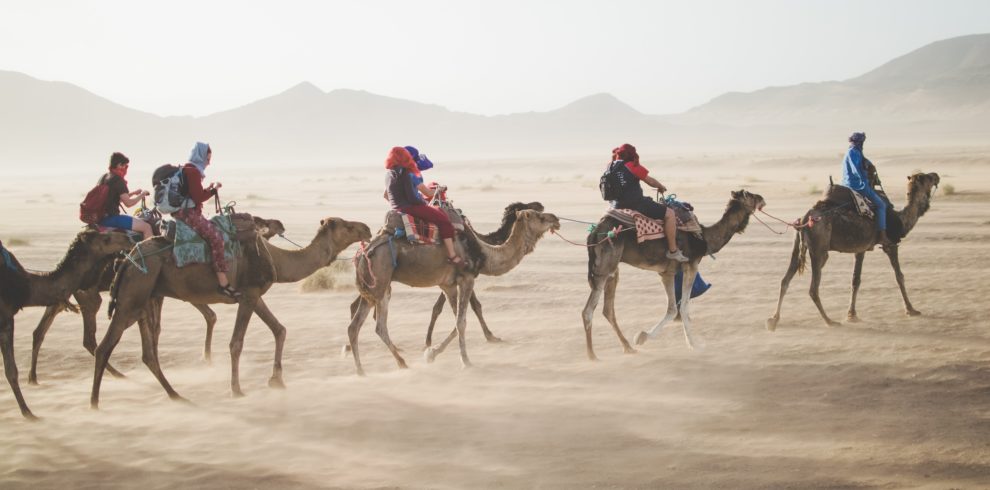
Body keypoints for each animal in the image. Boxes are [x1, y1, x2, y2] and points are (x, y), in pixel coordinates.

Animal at [26, 216, 286, 384]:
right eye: (260, 221)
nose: (279, 224)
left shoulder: (161, 292)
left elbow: (178, 323)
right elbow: (162, 327)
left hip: (81, 292)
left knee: (45, 325)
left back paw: (33, 377)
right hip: (92, 295)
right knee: (88, 337)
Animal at [91, 218, 370, 410]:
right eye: (346, 225)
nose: (366, 228)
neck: (276, 259)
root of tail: (127, 258)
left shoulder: (254, 295)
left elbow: (280, 329)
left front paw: (277, 380)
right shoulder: (248, 294)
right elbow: (236, 342)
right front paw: (237, 389)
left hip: (146, 297)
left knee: (148, 353)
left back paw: (175, 395)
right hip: (133, 295)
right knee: (106, 346)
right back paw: (94, 403)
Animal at [346, 208, 560, 376]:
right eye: (539, 216)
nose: (556, 219)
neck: (483, 252)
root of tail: (362, 254)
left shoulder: (448, 285)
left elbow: (456, 321)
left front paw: (432, 353)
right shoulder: (467, 279)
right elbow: (461, 322)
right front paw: (466, 361)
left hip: (371, 289)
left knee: (354, 326)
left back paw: (362, 370)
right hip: (381, 282)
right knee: (379, 326)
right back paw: (400, 363)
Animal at [580, 189, 768, 358]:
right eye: (750, 195)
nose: (762, 198)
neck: (704, 238)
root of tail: (594, 232)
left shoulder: (667, 273)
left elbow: (674, 308)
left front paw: (644, 337)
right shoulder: (689, 266)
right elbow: (681, 306)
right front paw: (692, 344)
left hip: (613, 270)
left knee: (608, 310)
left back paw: (627, 347)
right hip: (605, 267)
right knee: (588, 311)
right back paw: (592, 355)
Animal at [768, 172, 944, 330]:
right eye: (927, 177)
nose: (936, 175)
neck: (901, 220)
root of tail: (805, 219)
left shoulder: (861, 249)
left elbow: (855, 280)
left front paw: (852, 315)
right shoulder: (890, 244)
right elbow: (899, 276)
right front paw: (911, 309)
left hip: (797, 245)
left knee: (785, 280)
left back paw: (773, 320)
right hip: (819, 250)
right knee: (813, 288)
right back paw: (829, 321)